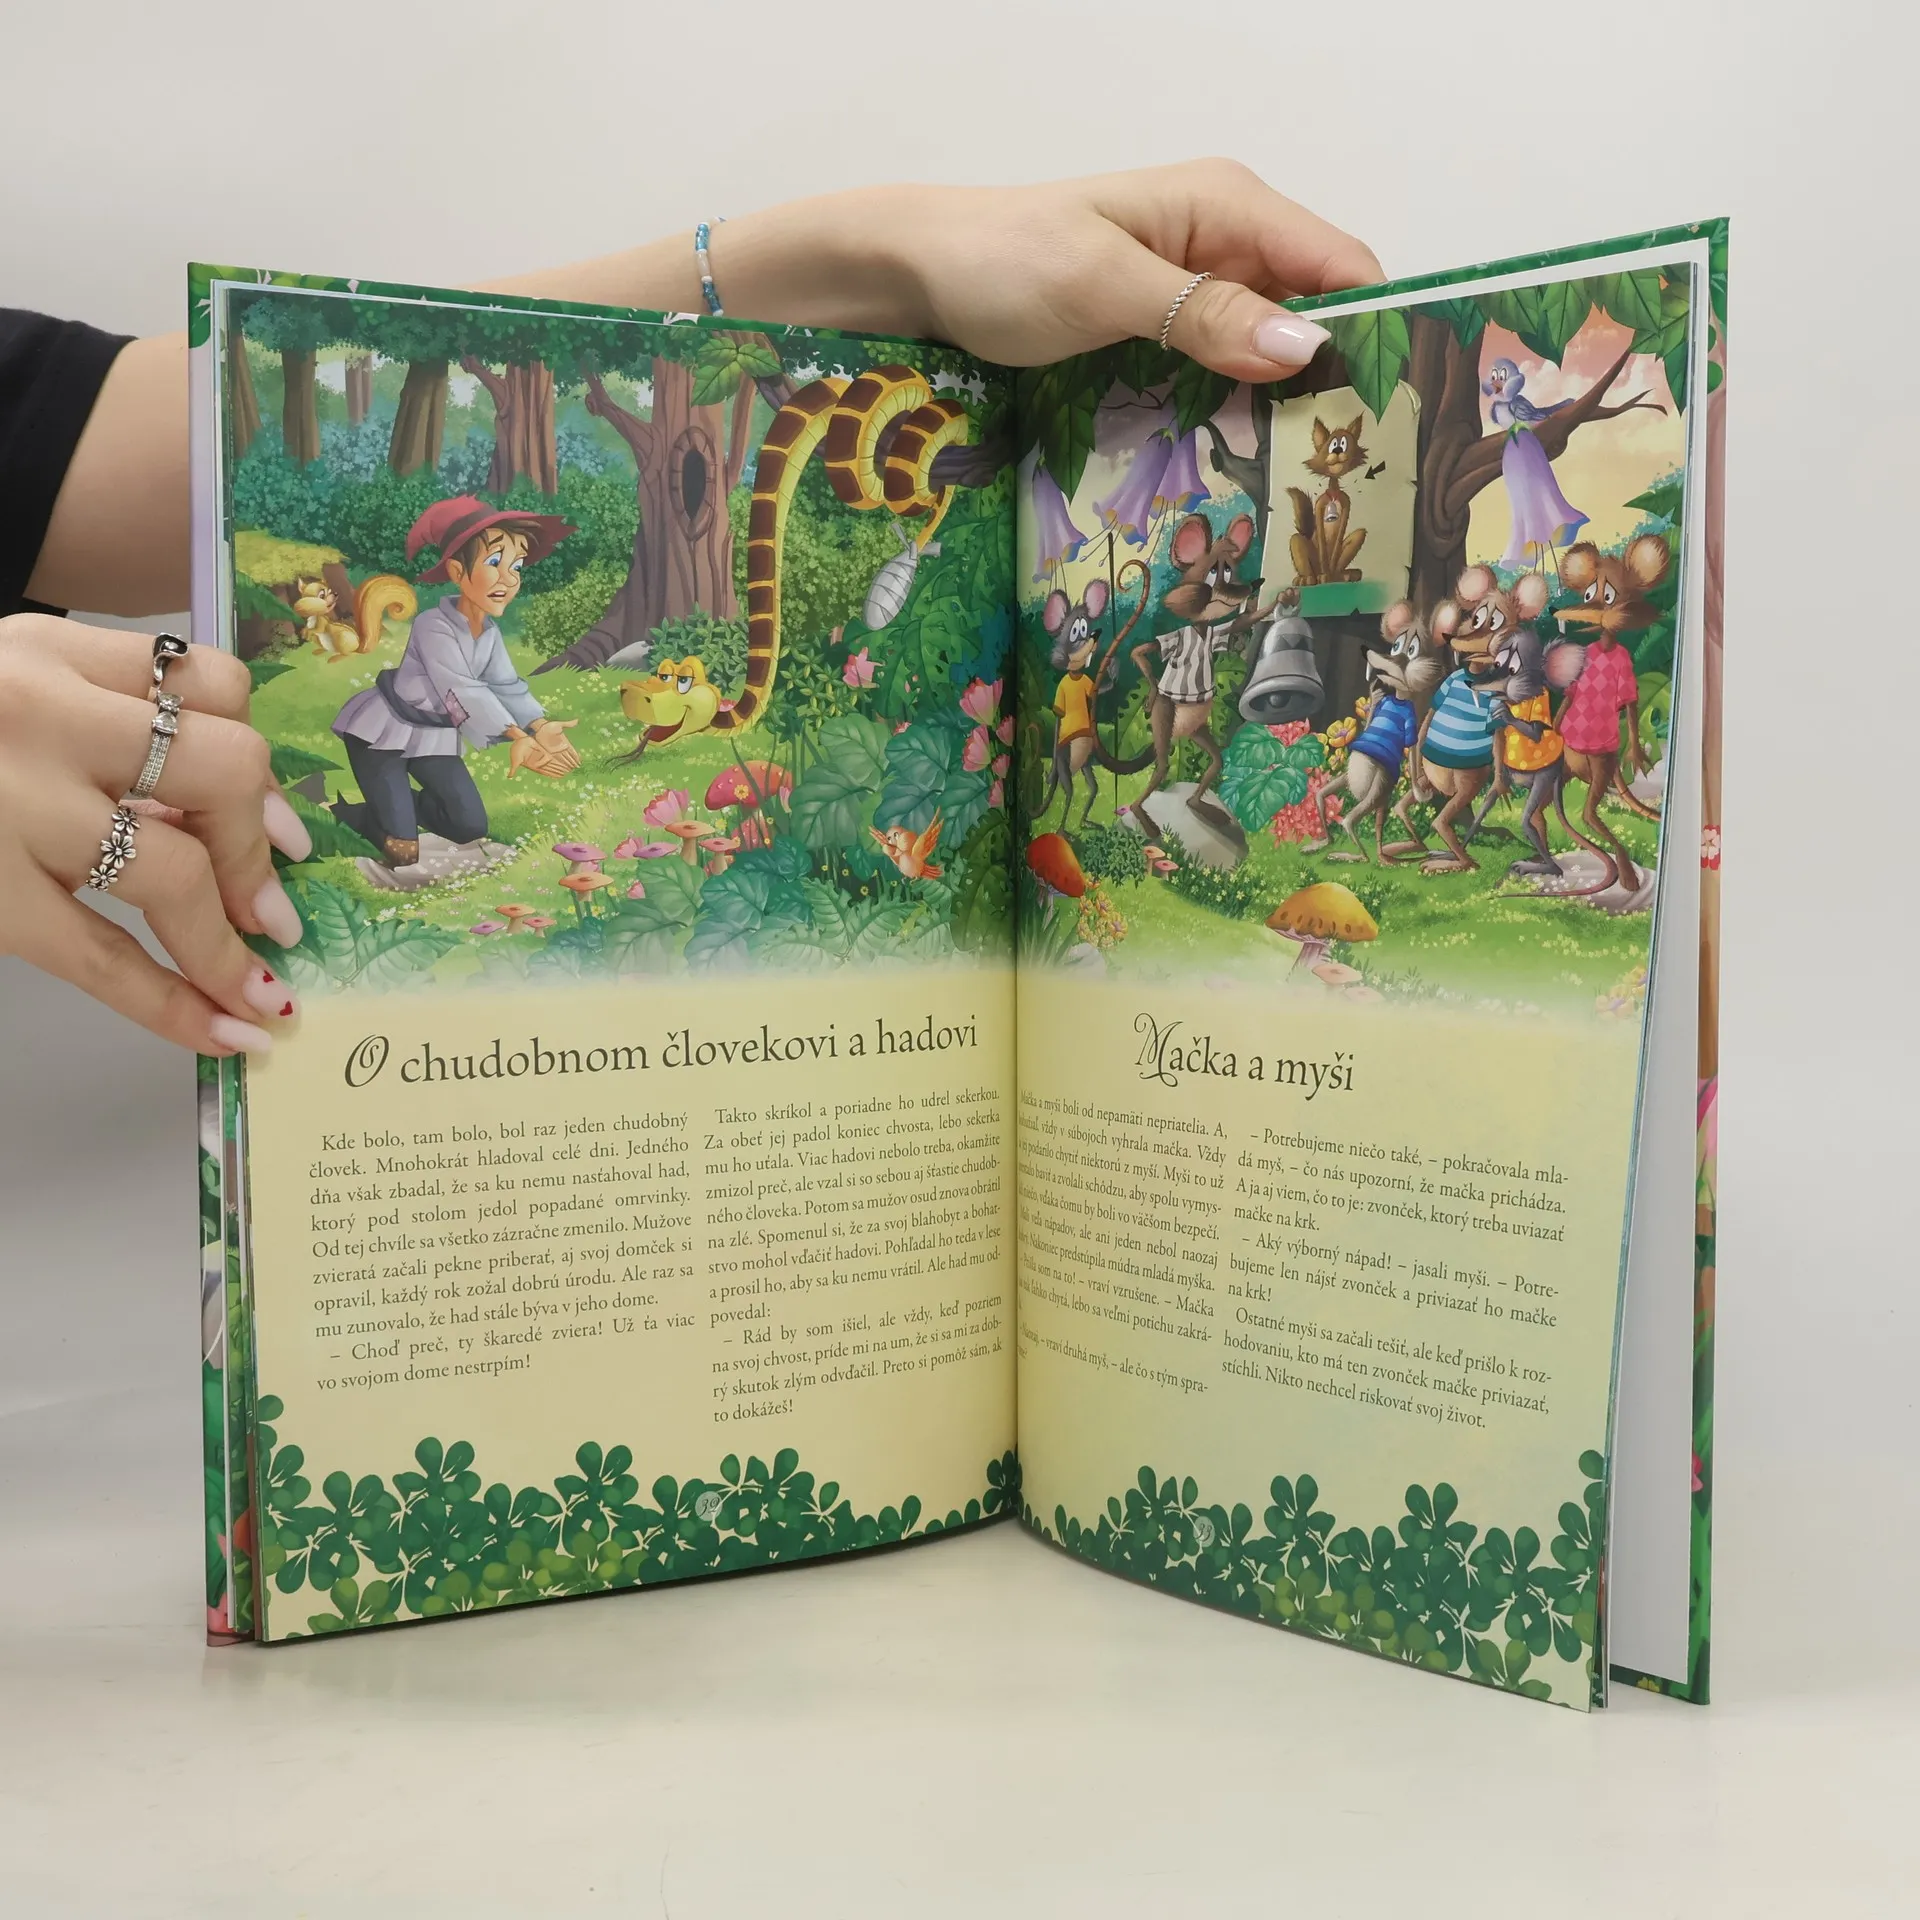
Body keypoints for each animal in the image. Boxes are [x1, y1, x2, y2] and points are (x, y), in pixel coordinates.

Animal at [1286, 415, 1369, 586]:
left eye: (1343, 444)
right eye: (1333, 445)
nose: (1337, 451)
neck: (1334, 494)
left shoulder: (1346, 504)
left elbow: (1341, 534)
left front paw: (1329, 575)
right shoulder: (1320, 505)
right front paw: (1324, 576)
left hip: (1353, 543)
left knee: (1358, 536)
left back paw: (1344, 575)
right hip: (1307, 554)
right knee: (1297, 540)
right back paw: (1308, 579)